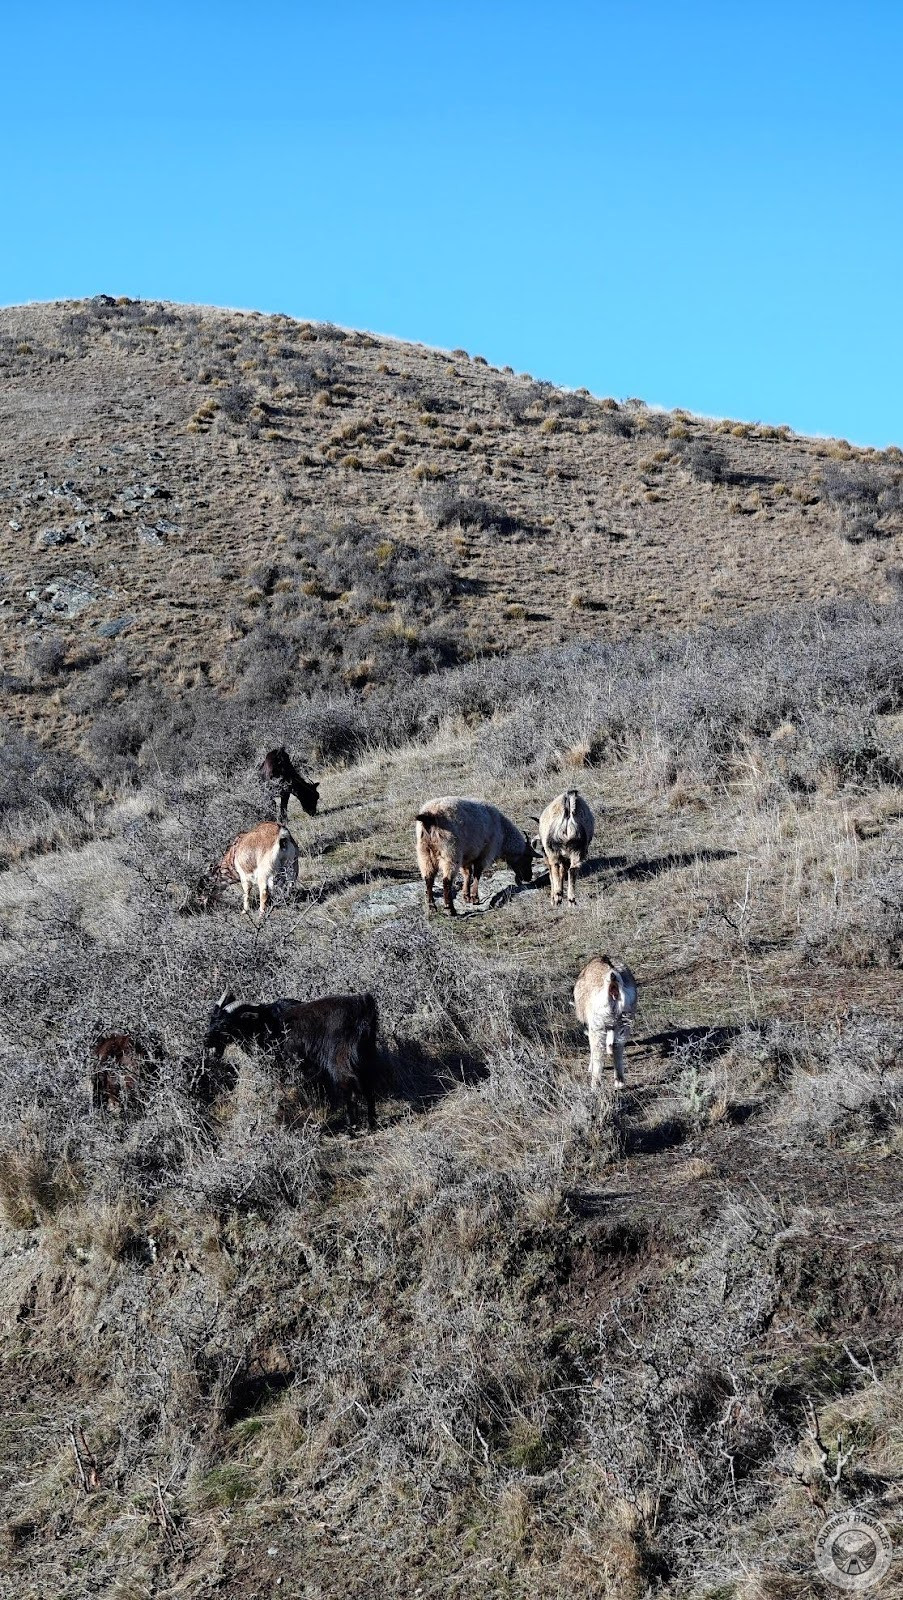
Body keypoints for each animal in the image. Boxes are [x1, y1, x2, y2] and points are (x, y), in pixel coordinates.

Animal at [201, 989, 379, 1129]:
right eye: (211, 1019)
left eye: (226, 1024)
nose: (206, 1040)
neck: (262, 1023)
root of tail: (362, 1004)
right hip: (366, 1056)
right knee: (369, 1085)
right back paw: (371, 1123)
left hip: (339, 1059)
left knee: (348, 1084)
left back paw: (351, 1127)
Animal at [573, 958, 638, 1090]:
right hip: (624, 1022)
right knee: (618, 1046)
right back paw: (619, 1082)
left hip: (598, 1026)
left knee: (598, 1050)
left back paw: (595, 1085)